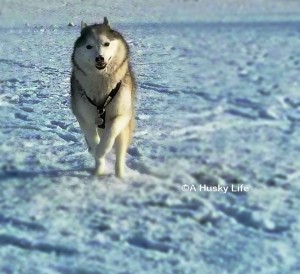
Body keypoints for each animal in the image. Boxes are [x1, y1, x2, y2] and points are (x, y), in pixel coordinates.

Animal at [70, 17, 136, 178]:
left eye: (106, 43)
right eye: (89, 46)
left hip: (124, 132)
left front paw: (103, 149)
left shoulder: (123, 113)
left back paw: (120, 176)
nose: (99, 58)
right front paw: (98, 156)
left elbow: (111, 130)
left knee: (120, 154)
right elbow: (93, 140)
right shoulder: (84, 118)